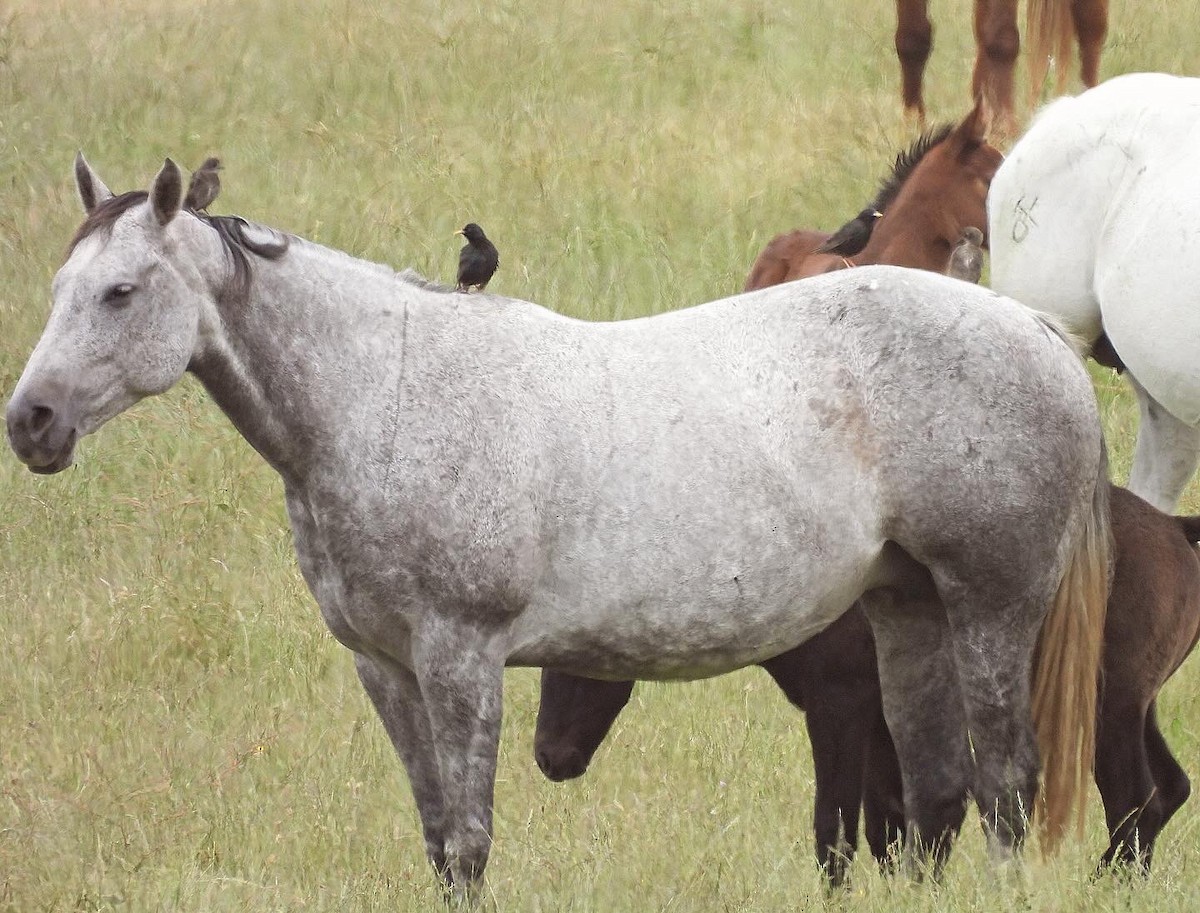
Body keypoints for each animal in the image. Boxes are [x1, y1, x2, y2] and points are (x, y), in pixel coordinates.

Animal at [4, 157, 1108, 897]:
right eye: (58, 288)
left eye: (120, 291)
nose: (31, 422)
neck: (386, 396)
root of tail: (1038, 333)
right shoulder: (385, 665)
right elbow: (435, 836)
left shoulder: (462, 656)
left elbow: (469, 840)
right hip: (907, 606)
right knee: (937, 797)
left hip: (990, 606)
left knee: (1005, 787)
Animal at [540, 484, 1200, 878]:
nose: (552, 757)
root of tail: (1176, 529)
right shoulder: (884, 726)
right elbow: (894, 825)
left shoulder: (839, 708)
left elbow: (837, 831)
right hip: (1136, 709)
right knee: (1169, 790)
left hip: (1109, 710)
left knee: (1135, 799)